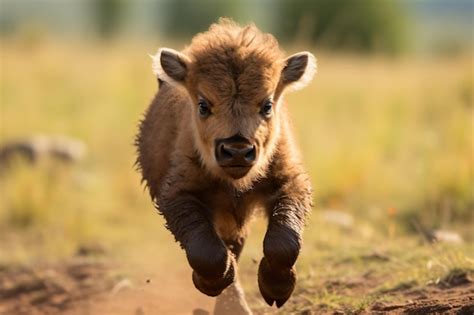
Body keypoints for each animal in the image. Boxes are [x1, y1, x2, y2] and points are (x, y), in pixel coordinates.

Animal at [136, 19, 314, 314]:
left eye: (267, 105)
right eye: (203, 105)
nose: (237, 150)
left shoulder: (290, 183)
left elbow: (284, 242)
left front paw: (277, 289)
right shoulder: (177, 194)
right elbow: (208, 252)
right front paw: (212, 282)